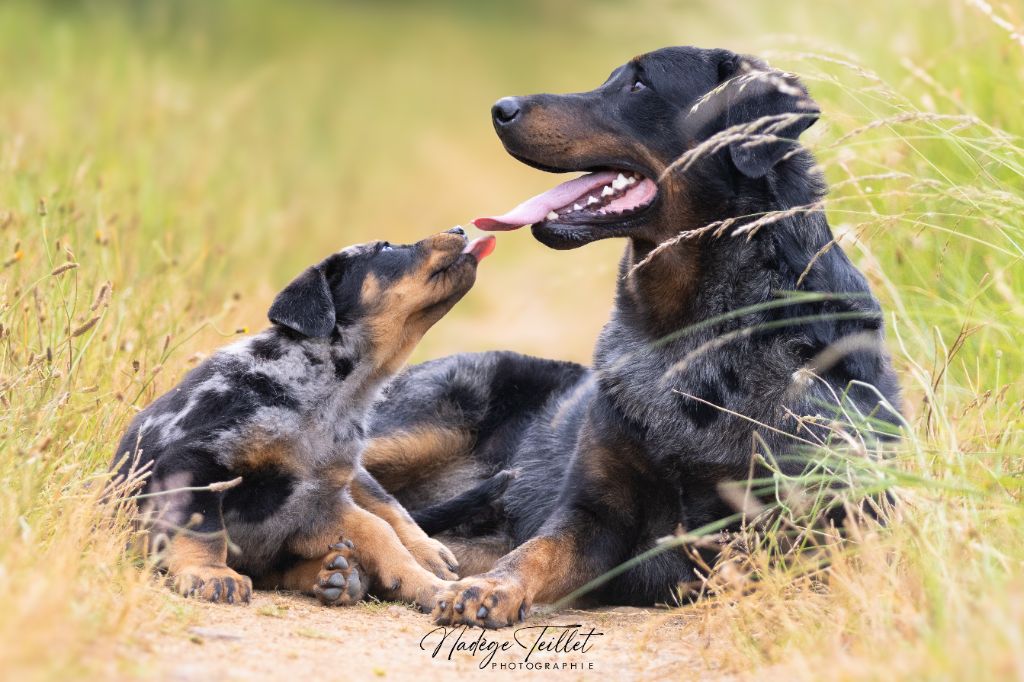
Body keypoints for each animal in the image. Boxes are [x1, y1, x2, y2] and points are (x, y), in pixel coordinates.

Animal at [112, 227, 495, 606]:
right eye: (385, 248)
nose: (460, 229)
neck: (333, 398)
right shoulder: (197, 460)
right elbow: (203, 526)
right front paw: (211, 574)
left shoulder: (317, 502)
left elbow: (381, 534)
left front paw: (433, 587)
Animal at [364, 43, 901, 626]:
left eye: (639, 86)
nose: (499, 109)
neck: (682, 333)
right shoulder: (594, 512)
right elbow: (536, 551)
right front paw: (489, 589)